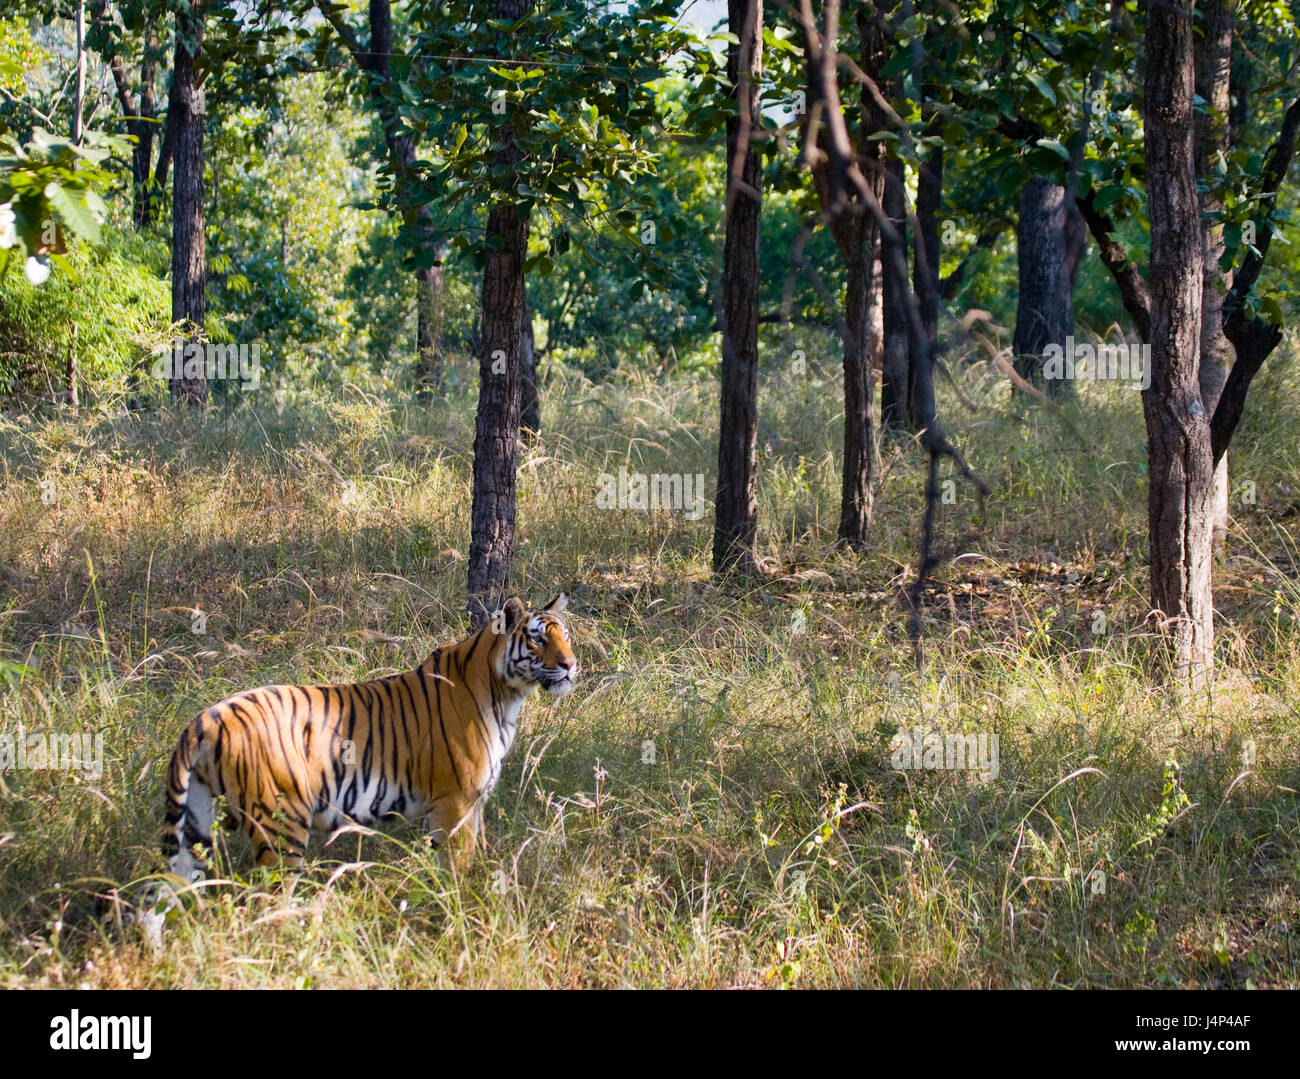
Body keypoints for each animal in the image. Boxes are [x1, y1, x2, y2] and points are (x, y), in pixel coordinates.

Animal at [159, 595, 577, 883]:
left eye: (567, 637)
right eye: (538, 641)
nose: (572, 665)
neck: (506, 694)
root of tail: (207, 718)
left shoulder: (469, 803)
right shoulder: (456, 802)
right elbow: (459, 864)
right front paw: (461, 905)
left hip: (195, 820)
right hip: (281, 823)